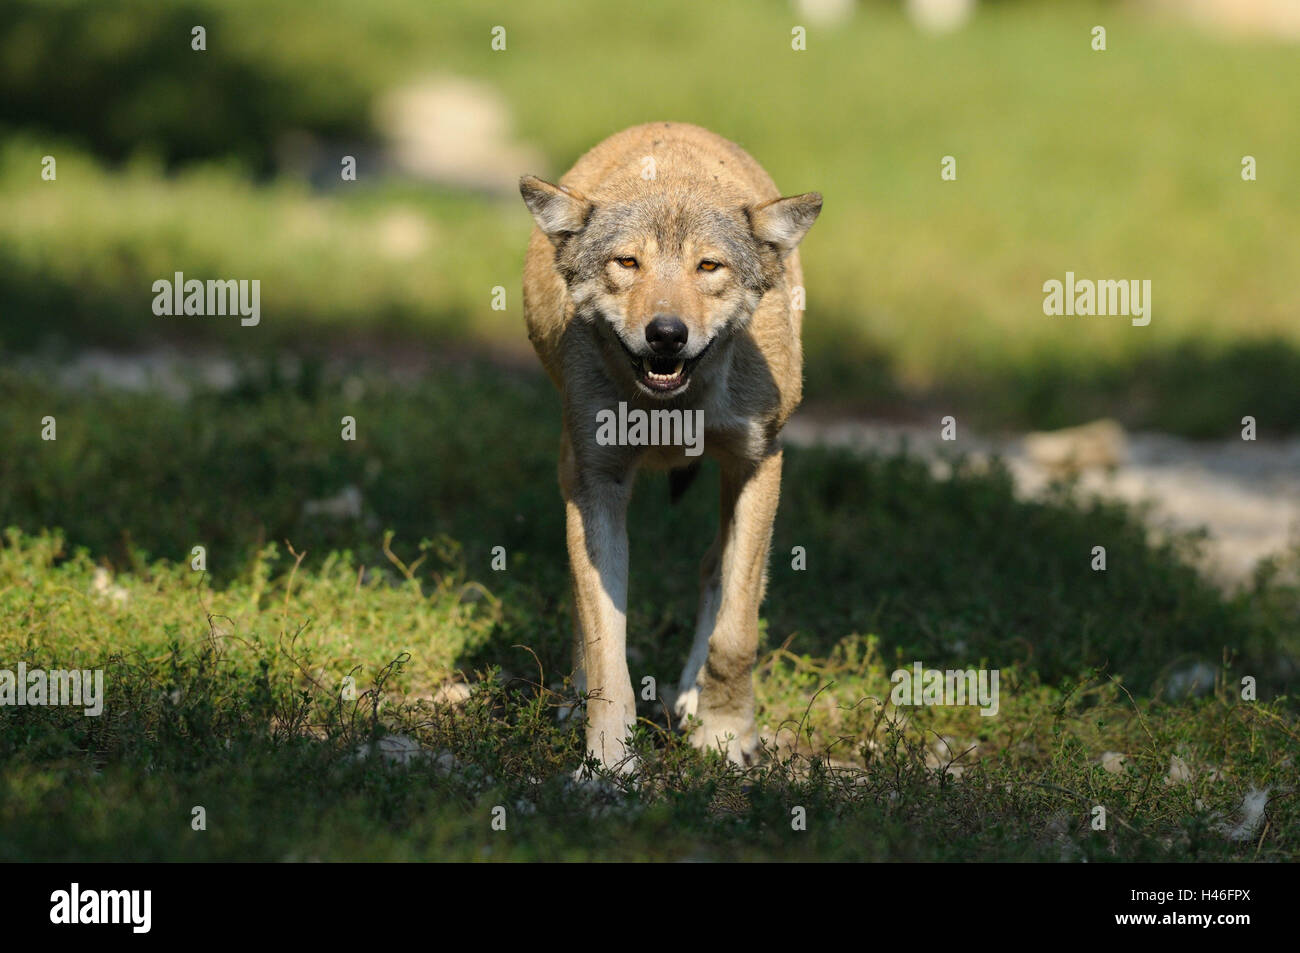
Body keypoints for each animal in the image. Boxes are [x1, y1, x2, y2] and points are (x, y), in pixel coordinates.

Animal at [519, 122, 821, 772]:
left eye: (708, 265)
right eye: (627, 261)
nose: (666, 333)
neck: (674, 410)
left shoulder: (760, 464)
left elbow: (737, 631)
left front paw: (724, 735)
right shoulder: (599, 485)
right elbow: (608, 644)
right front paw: (609, 761)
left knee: (714, 570)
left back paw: (690, 699)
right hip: (570, 468)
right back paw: (575, 701)